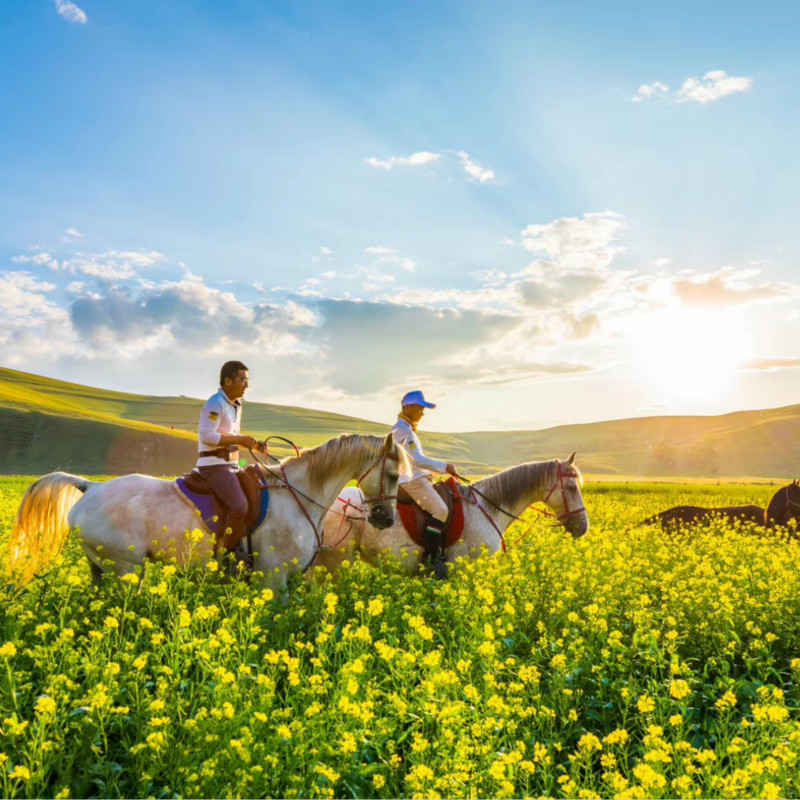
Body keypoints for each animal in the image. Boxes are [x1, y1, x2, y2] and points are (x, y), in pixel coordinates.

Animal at [6, 432, 406, 592]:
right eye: (392, 474)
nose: (386, 519)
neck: (299, 497)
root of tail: (91, 487)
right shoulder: (273, 578)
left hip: (100, 568)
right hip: (125, 568)